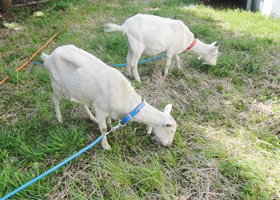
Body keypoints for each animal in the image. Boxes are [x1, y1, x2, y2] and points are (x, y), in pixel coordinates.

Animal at [41, 44, 177, 149]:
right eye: (170, 131)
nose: (168, 145)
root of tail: (48, 57)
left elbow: (108, 122)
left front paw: (110, 122)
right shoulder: (100, 109)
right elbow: (103, 129)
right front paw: (106, 146)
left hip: (79, 90)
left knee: (82, 104)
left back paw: (91, 118)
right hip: (56, 85)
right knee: (55, 100)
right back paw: (59, 119)